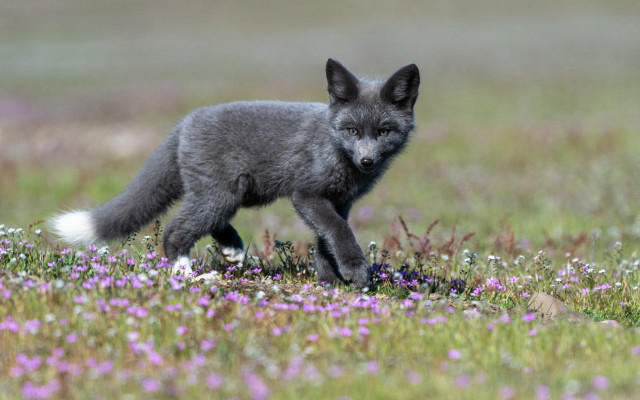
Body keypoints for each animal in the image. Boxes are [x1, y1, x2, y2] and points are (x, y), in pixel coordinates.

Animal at [52, 59, 420, 288]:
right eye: (353, 131)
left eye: (384, 131)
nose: (367, 161)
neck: (334, 144)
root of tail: (186, 121)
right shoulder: (307, 194)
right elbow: (339, 233)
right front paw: (355, 273)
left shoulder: (340, 202)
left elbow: (325, 242)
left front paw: (331, 282)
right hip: (223, 194)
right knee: (174, 230)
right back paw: (184, 273)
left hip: (232, 194)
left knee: (206, 222)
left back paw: (232, 250)